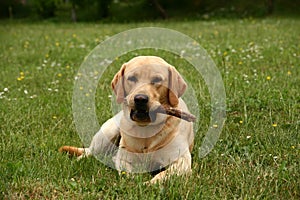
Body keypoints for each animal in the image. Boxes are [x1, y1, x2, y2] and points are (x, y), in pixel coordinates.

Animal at [60, 55, 195, 184]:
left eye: (157, 80)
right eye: (132, 78)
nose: (140, 99)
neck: (146, 130)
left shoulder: (182, 161)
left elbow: (162, 175)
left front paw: (149, 184)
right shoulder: (124, 158)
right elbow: (128, 172)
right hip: (107, 134)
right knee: (89, 153)